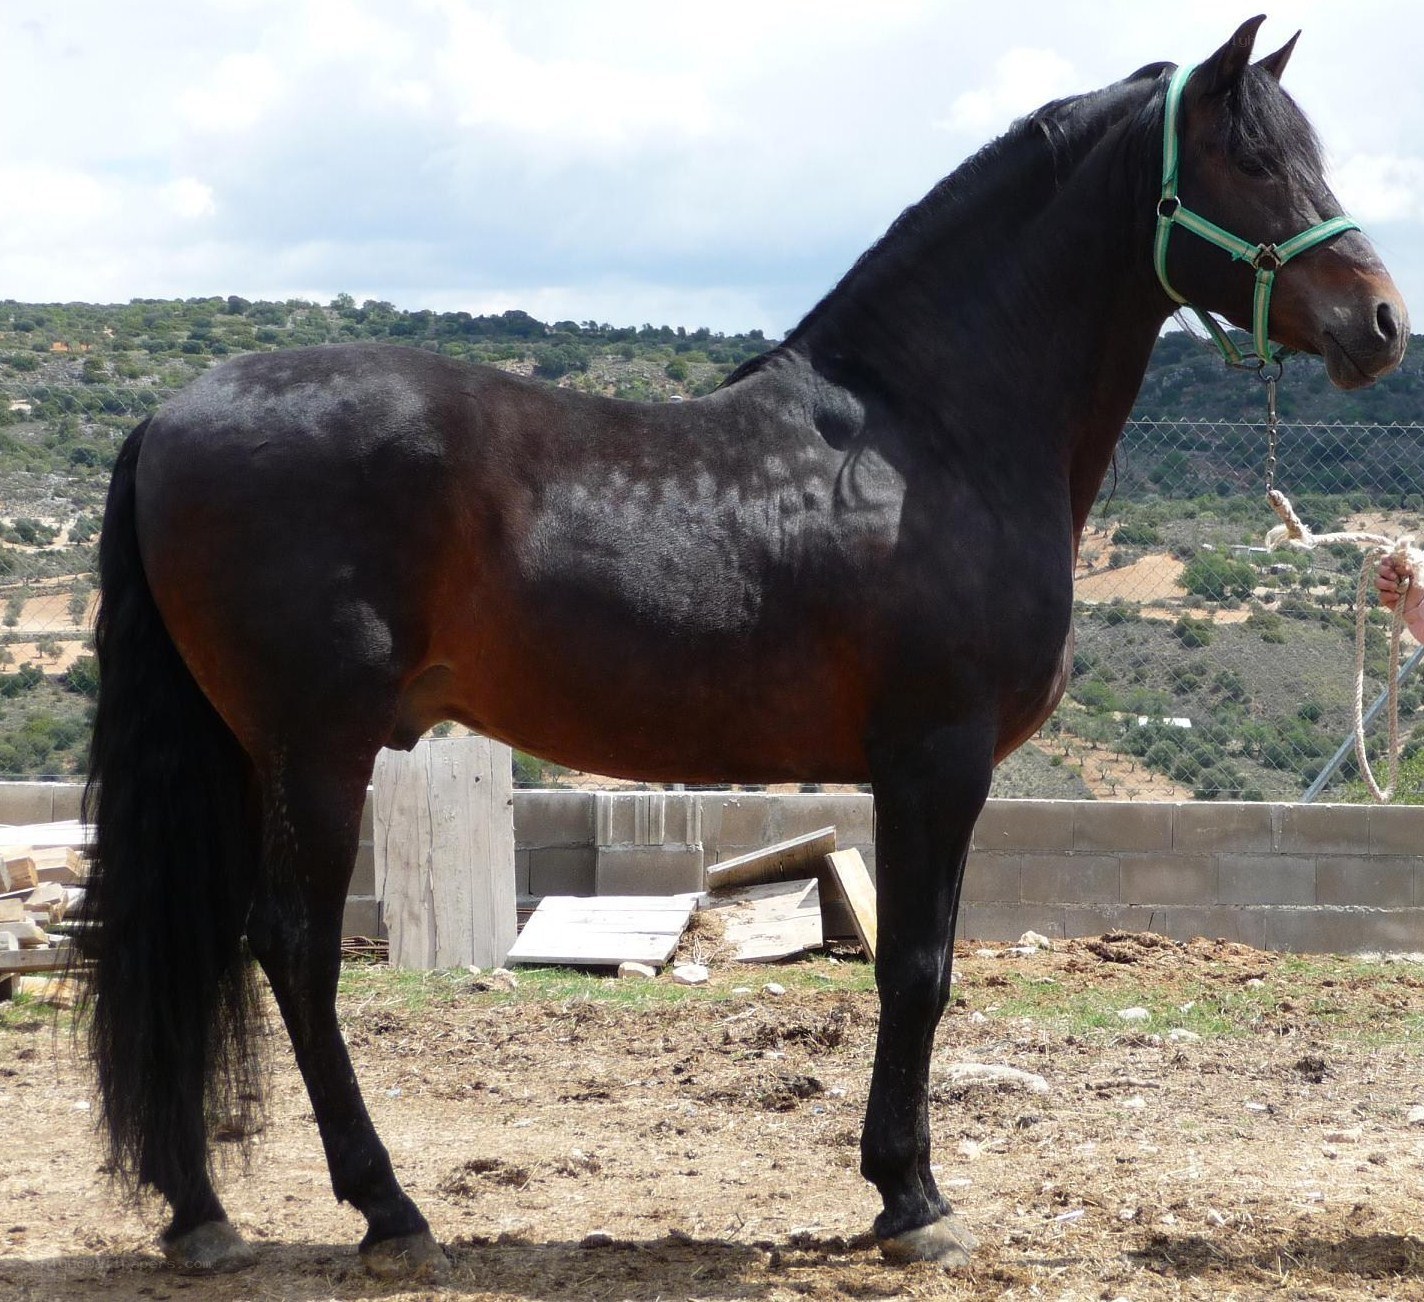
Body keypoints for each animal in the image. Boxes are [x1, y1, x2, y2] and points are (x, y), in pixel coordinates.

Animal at [82, 17, 1406, 1279]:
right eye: (1250, 157)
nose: (1383, 323)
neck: (928, 436)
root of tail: (168, 417)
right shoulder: (935, 759)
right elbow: (914, 966)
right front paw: (910, 1201)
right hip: (314, 747)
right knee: (290, 949)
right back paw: (387, 1211)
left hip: (243, 751)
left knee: (188, 944)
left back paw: (202, 1216)